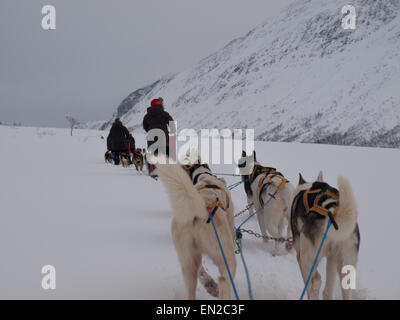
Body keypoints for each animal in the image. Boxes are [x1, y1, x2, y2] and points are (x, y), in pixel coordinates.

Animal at [156, 158, 236, 300]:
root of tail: (198, 210)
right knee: (224, 281)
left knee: (194, 279)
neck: (205, 177)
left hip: (188, 260)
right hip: (225, 256)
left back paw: (210, 285)